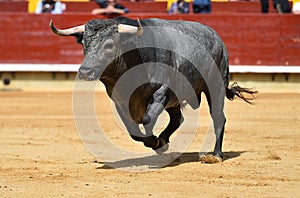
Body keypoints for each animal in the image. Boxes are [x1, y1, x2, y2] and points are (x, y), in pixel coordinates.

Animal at [50, 16, 256, 162]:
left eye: (109, 45)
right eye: (84, 44)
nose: (85, 71)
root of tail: (216, 37)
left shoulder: (161, 93)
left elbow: (147, 119)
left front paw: (156, 142)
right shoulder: (119, 100)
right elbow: (133, 129)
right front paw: (159, 143)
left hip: (215, 86)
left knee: (218, 118)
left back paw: (216, 155)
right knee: (177, 119)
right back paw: (165, 142)